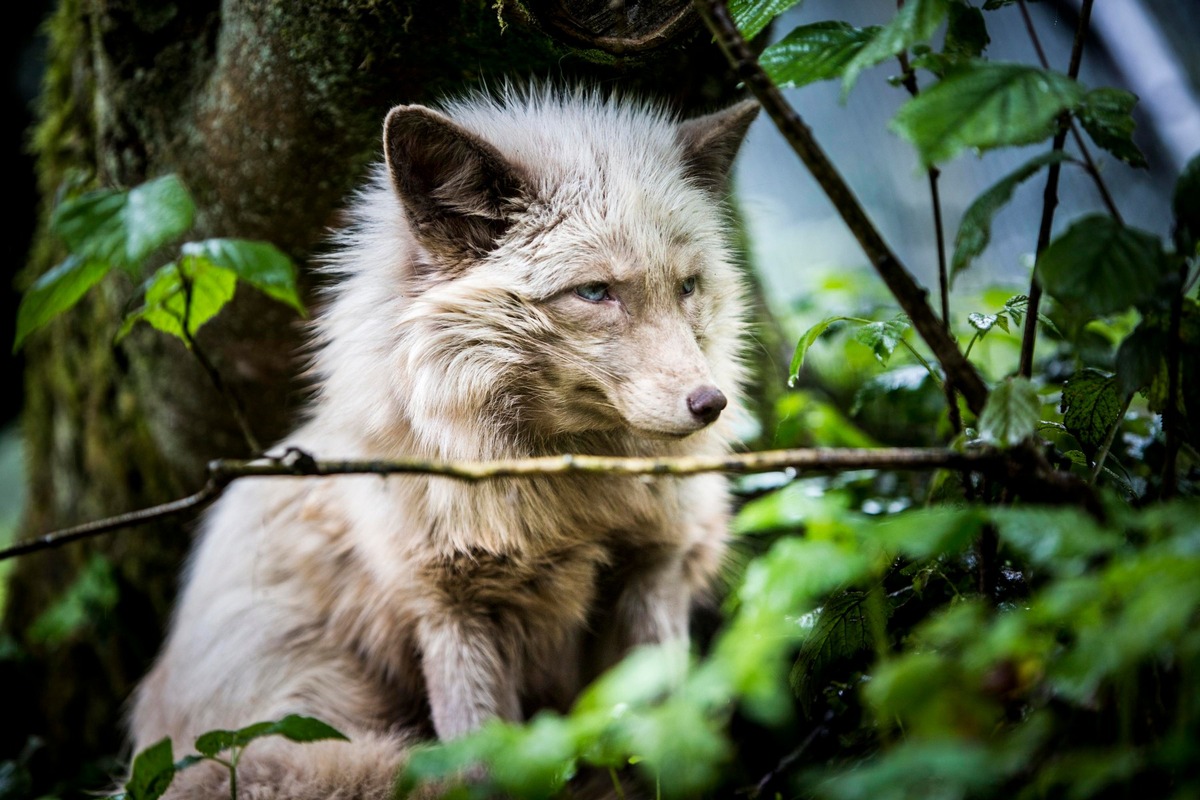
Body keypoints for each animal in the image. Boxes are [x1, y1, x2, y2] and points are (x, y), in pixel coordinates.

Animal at [126, 84, 753, 796]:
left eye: (687, 287)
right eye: (594, 292)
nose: (710, 404)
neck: (572, 511)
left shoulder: (654, 573)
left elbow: (661, 739)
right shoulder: (451, 610)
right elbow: (483, 765)